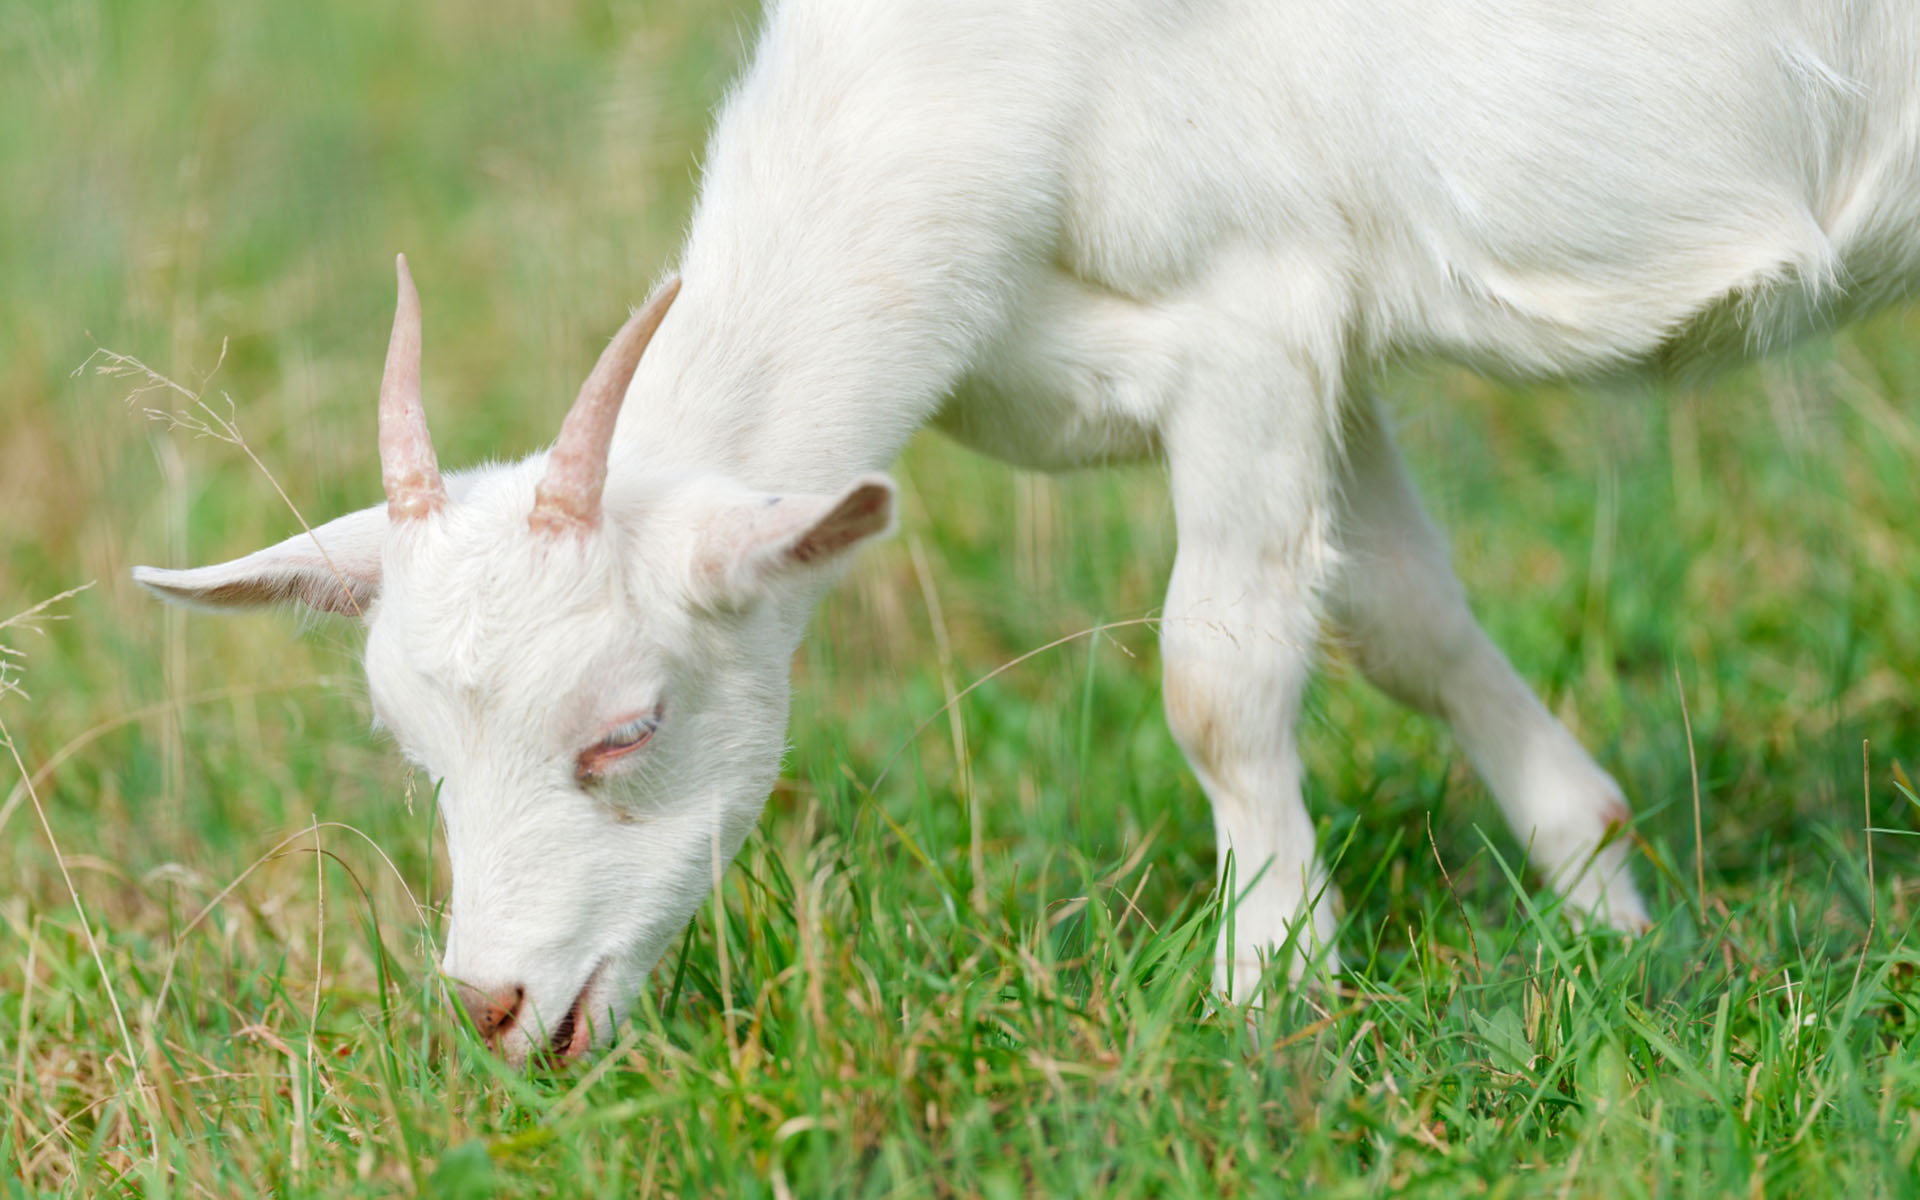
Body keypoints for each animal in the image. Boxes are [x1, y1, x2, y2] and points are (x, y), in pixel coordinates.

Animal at [139, 4, 1920, 1059]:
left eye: (626, 729)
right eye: (415, 752)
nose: (494, 1005)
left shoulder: (1252, 309)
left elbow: (1218, 675)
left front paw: (1268, 992)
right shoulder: (1297, 346)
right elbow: (1400, 616)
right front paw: (1604, 894)